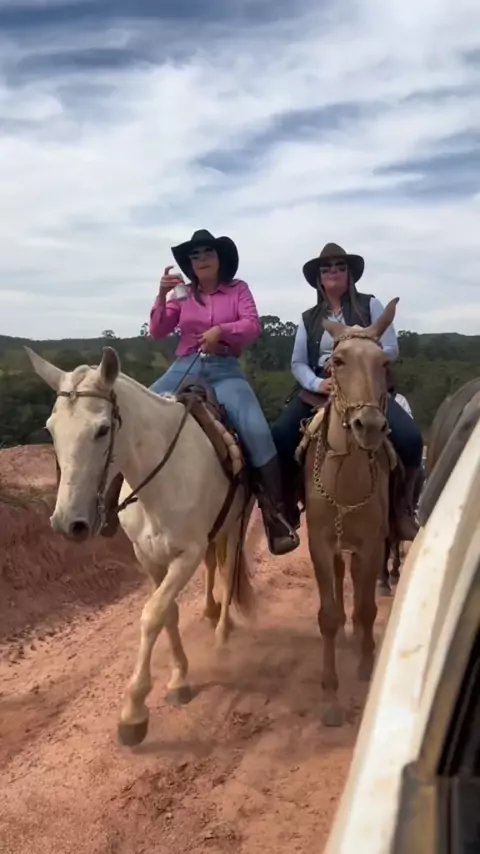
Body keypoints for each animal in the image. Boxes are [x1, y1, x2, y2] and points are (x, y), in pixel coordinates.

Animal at [25, 346, 256, 747]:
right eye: (51, 430)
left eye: (103, 429)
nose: (68, 523)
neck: (160, 483)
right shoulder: (148, 557)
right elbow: (169, 613)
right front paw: (179, 678)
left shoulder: (186, 556)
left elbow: (152, 615)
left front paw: (134, 710)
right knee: (215, 567)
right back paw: (211, 613)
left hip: (234, 524)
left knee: (228, 574)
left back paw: (223, 633)